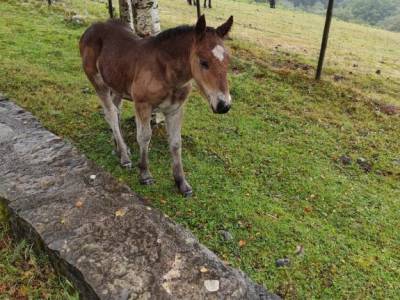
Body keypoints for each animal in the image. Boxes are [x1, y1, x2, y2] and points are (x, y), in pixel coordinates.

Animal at [79, 14, 233, 197]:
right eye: (203, 62)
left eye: (228, 61)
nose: (224, 105)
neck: (167, 72)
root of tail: (91, 27)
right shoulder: (143, 105)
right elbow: (144, 136)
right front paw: (145, 174)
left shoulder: (175, 110)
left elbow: (175, 143)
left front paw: (181, 183)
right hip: (97, 81)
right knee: (110, 114)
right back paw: (124, 156)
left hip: (117, 84)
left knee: (116, 111)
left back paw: (119, 147)